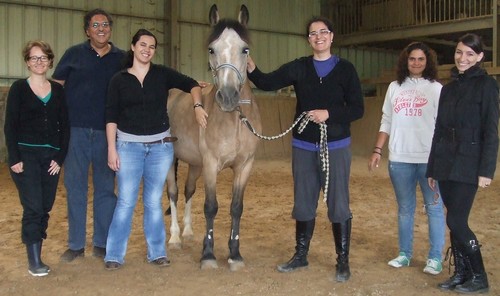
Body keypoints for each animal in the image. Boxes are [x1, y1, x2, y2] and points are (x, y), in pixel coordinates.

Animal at [166, 4, 262, 270]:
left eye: (245, 49)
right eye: (211, 49)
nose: (227, 97)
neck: (234, 121)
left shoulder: (244, 166)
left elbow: (236, 208)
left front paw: (234, 254)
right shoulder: (210, 164)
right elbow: (210, 207)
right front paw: (208, 255)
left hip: (194, 164)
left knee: (188, 190)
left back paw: (188, 232)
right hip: (171, 160)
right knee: (173, 193)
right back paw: (175, 237)